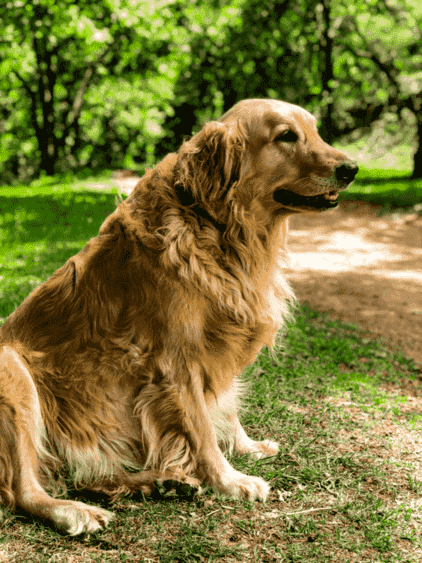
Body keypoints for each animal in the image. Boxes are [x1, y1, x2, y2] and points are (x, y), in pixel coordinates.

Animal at [0, 99, 358, 536]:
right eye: (286, 136)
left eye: (315, 131)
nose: (351, 168)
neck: (217, 227)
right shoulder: (176, 360)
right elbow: (201, 428)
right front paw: (230, 480)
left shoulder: (216, 350)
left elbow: (226, 409)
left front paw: (247, 447)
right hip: (12, 369)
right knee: (23, 490)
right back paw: (75, 511)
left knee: (87, 477)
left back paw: (160, 483)